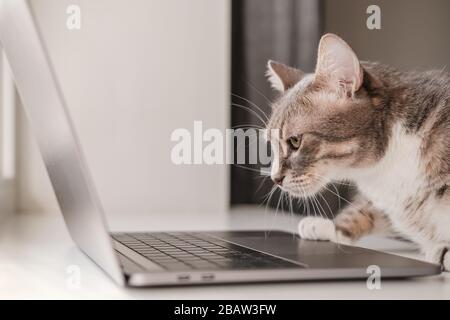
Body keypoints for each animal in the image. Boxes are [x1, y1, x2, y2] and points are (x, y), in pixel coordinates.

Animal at [266, 33, 450, 270]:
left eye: (295, 141)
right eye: (270, 143)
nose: (274, 178)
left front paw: (443, 253)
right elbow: (365, 210)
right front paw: (329, 227)